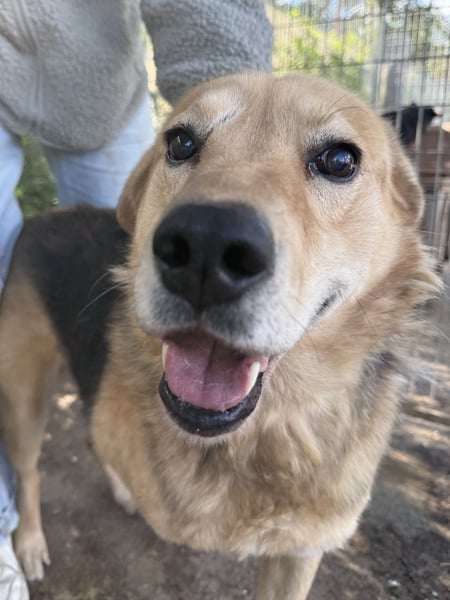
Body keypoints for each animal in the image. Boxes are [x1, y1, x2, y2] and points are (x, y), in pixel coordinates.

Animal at [0, 73, 441, 599]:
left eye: (339, 161)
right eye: (181, 143)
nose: (204, 247)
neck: (263, 434)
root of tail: (44, 215)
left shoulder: (301, 551)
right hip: (23, 398)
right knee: (28, 473)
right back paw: (29, 543)